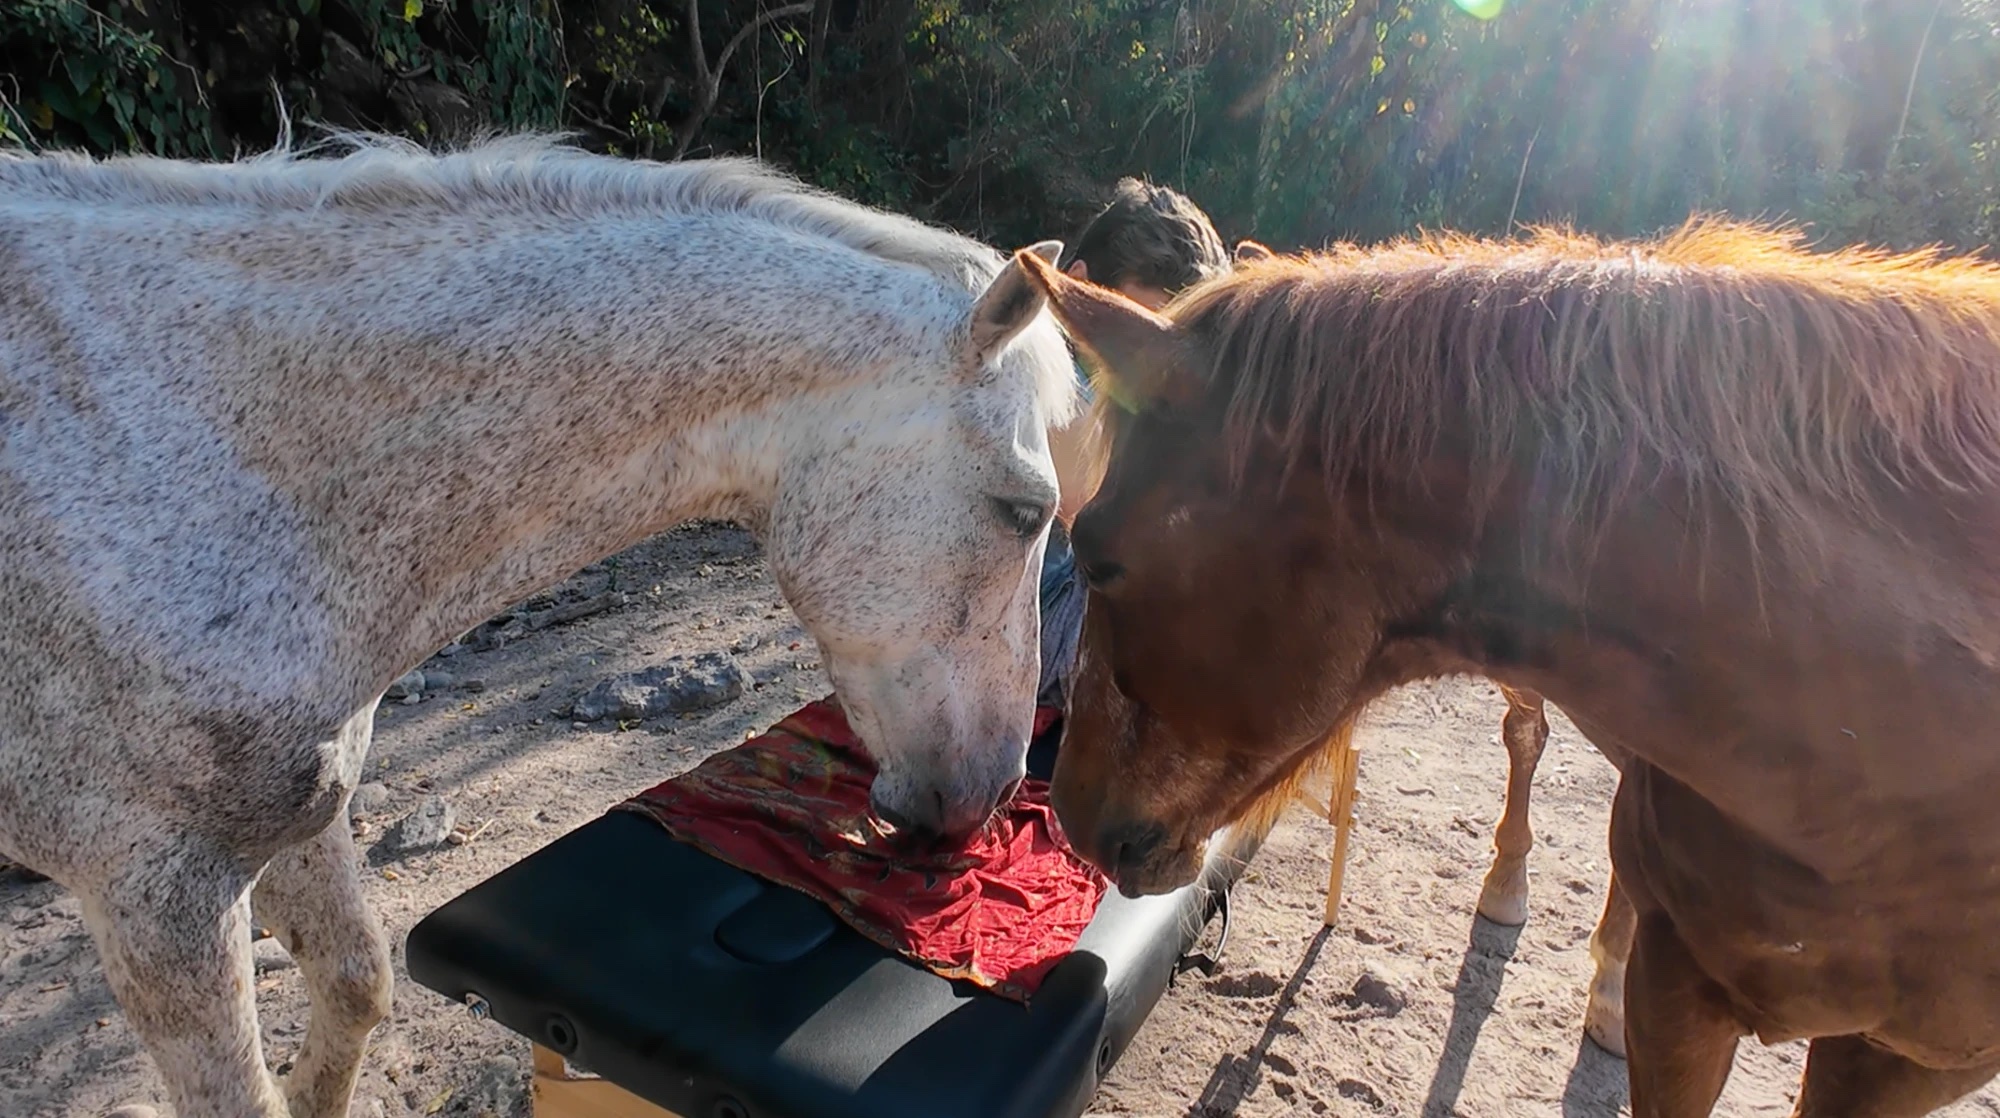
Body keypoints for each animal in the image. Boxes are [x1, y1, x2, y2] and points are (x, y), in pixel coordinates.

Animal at [0, 132, 1078, 1118]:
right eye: (1025, 510)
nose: (994, 790)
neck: (237, 459)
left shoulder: (298, 815)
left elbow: (356, 983)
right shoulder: (157, 895)